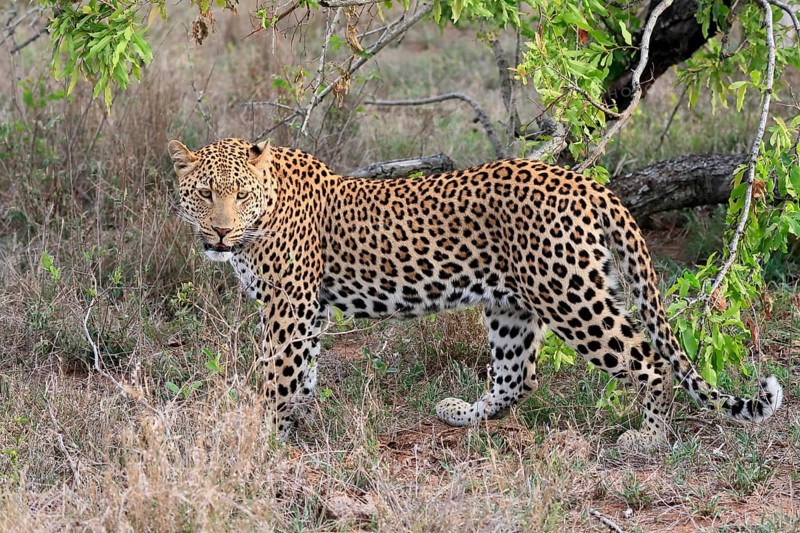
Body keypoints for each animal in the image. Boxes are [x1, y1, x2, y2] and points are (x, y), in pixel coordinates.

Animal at [168, 137, 783, 449]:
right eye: (203, 194)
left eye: (238, 194)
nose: (219, 233)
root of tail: (588, 184)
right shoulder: (307, 308)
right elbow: (301, 374)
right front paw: (291, 426)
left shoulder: (291, 305)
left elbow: (278, 375)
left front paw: (262, 441)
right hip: (513, 304)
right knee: (518, 377)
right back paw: (459, 413)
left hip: (572, 296)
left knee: (648, 360)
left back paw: (648, 439)